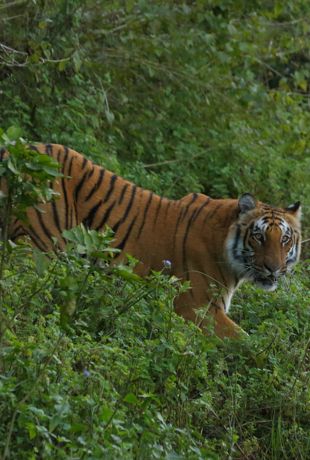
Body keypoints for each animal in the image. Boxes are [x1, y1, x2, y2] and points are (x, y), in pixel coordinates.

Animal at [0, 144, 300, 338]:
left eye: (285, 239)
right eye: (259, 237)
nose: (274, 269)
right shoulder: (195, 307)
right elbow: (247, 343)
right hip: (41, 249)